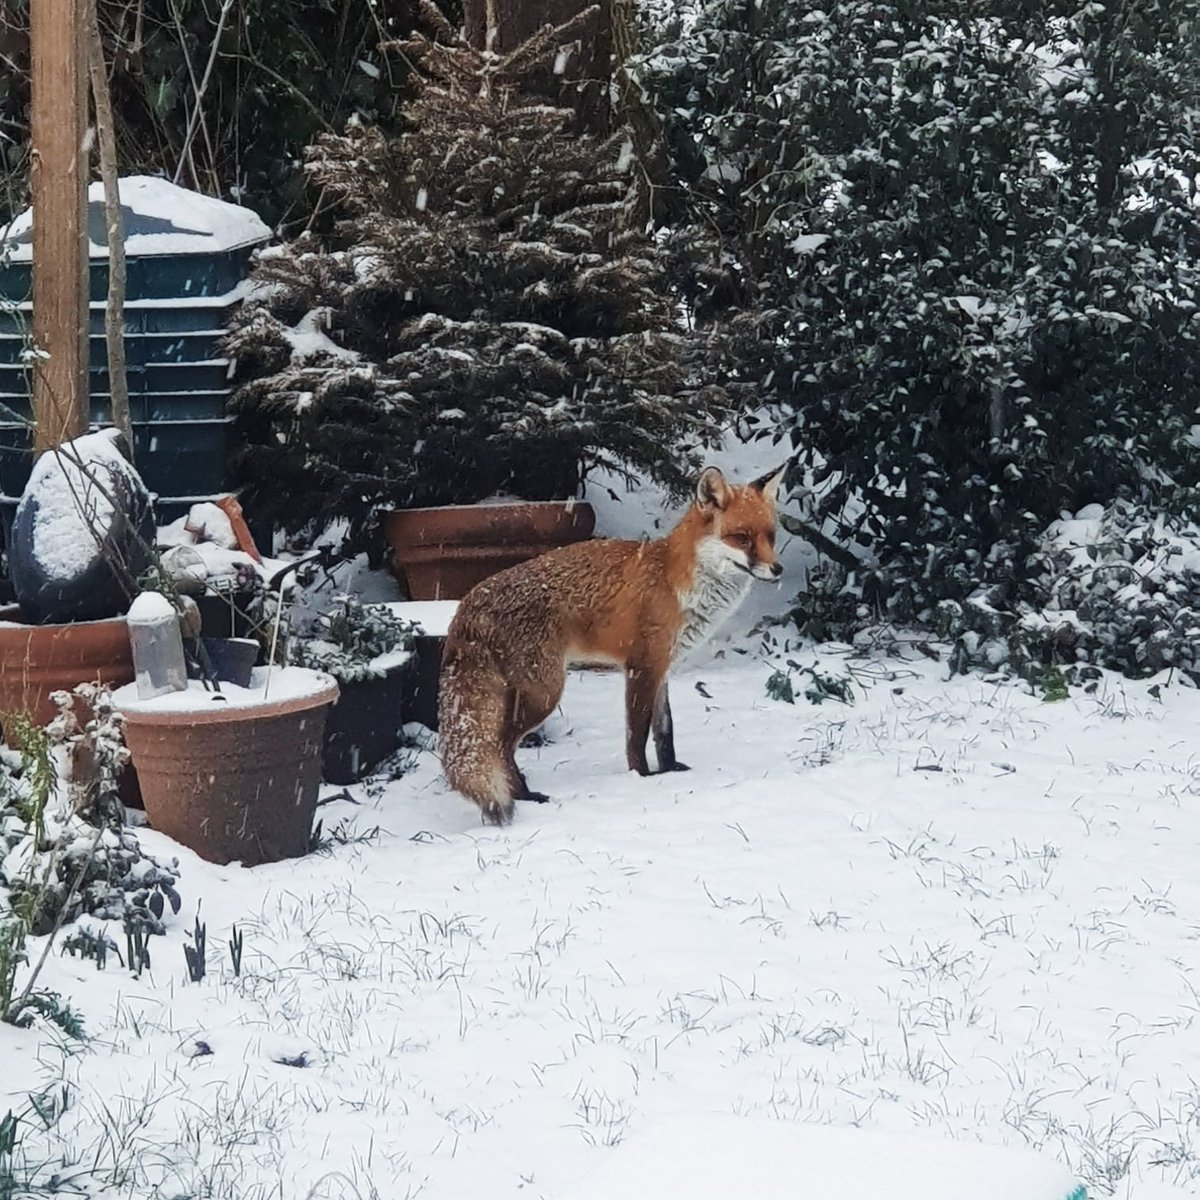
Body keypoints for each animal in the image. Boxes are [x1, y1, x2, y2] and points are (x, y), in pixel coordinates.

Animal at [438, 464, 786, 825]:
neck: (676, 580)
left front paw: (672, 771)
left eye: (770, 536)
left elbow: (665, 731)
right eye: (742, 538)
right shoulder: (641, 667)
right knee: (499, 746)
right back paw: (524, 796)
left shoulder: (662, 668)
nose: (777, 569)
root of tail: (467, 603)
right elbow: (637, 735)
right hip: (545, 692)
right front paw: (642, 778)